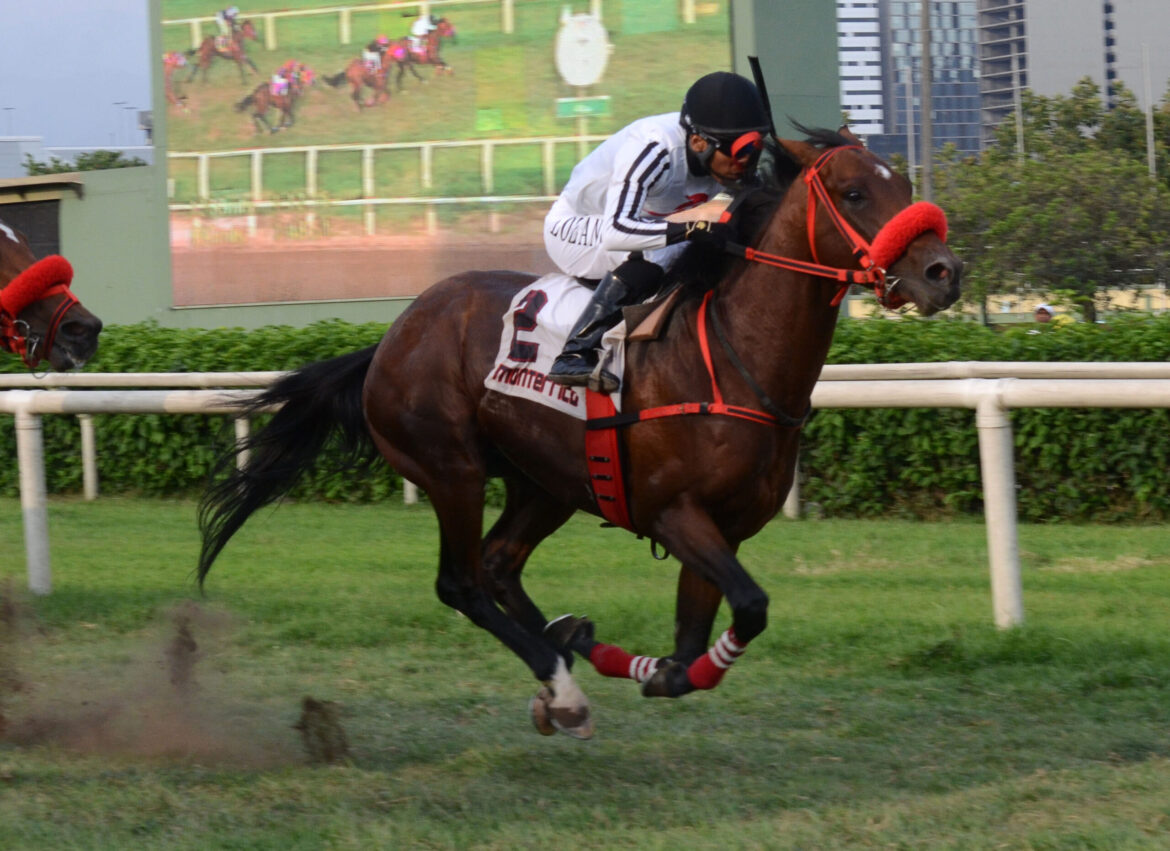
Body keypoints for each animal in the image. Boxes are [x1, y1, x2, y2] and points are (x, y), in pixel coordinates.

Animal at [198, 126, 959, 739]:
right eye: (855, 192)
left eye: (906, 185)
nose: (943, 273)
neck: (733, 354)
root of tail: (391, 335)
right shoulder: (674, 510)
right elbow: (749, 606)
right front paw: (629, 664)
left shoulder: (727, 527)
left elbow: (695, 640)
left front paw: (632, 657)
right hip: (451, 467)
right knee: (462, 582)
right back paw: (562, 688)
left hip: (545, 481)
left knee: (500, 563)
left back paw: (562, 655)